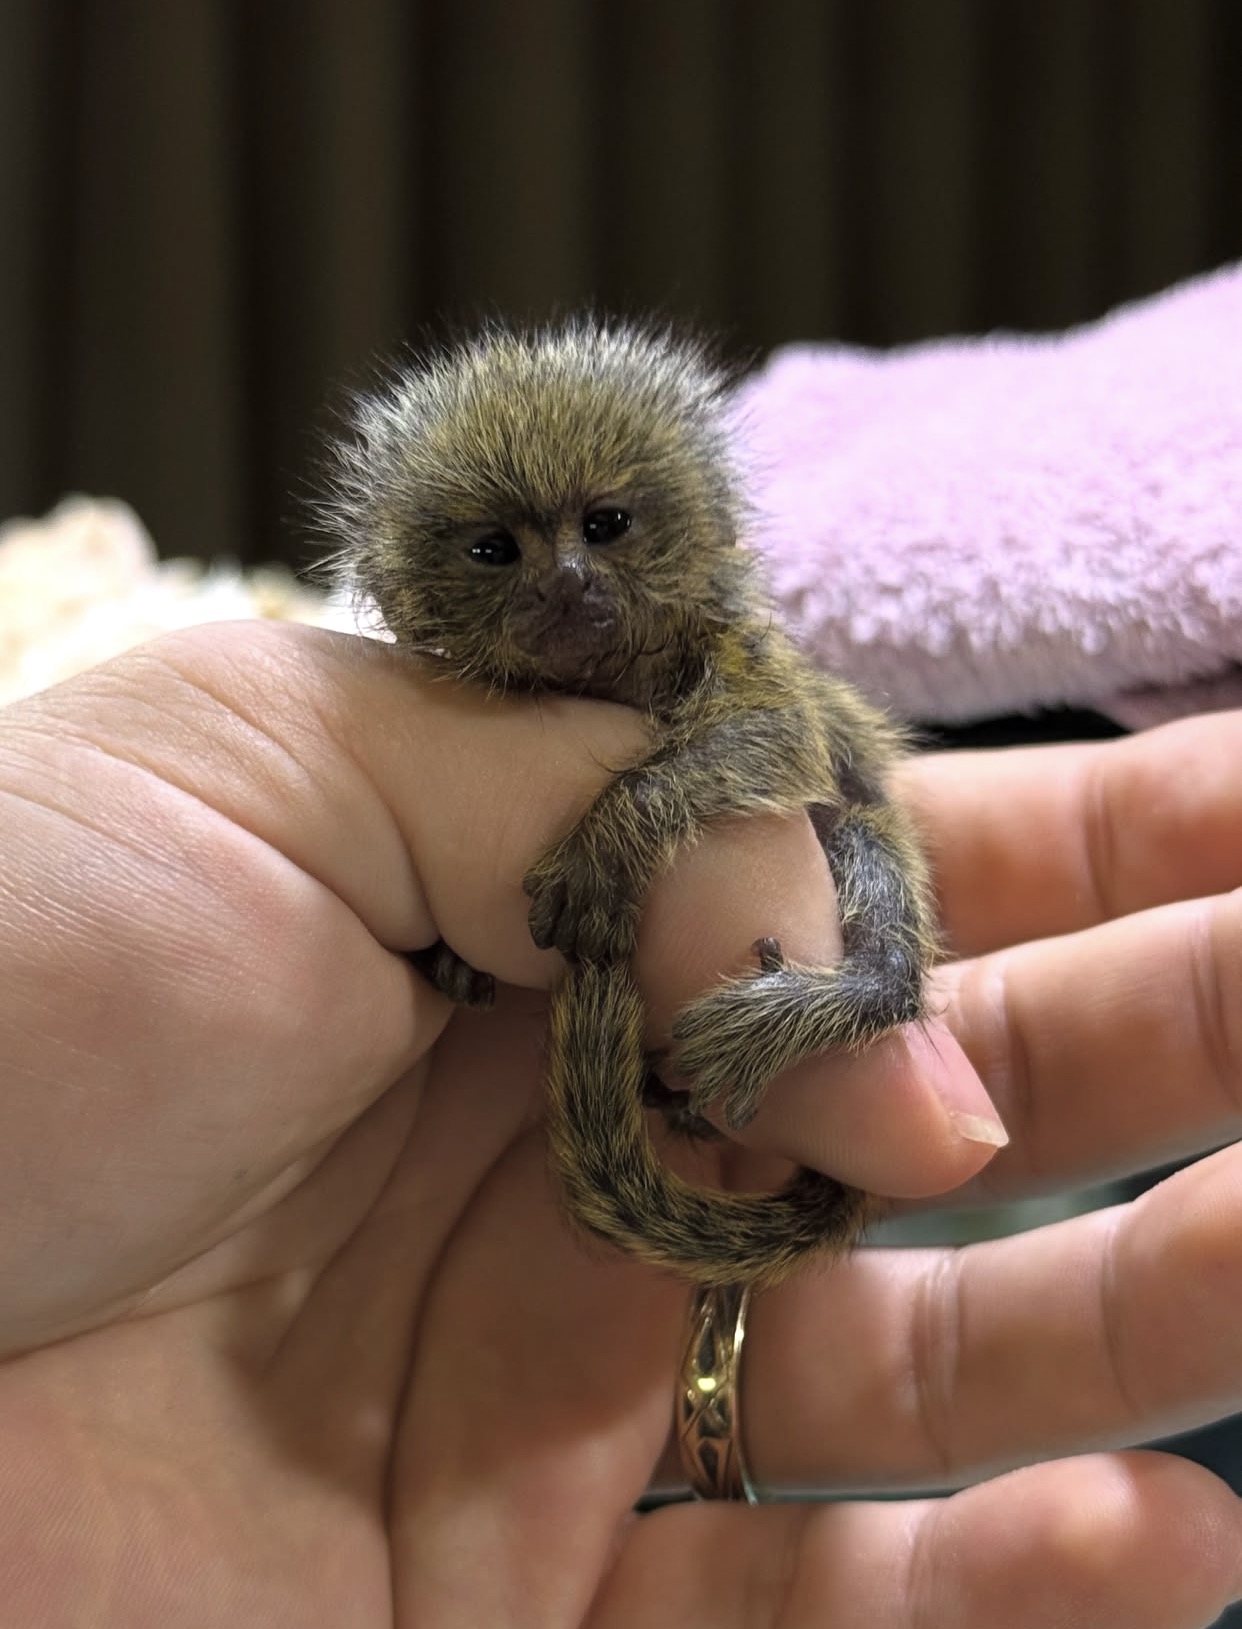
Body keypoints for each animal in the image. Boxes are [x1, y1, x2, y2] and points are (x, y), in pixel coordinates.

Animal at [318, 317, 937, 1286]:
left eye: (604, 525)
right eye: (496, 550)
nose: (566, 581)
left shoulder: (736, 647)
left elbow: (780, 738)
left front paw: (611, 843)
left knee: (865, 848)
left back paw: (863, 987)